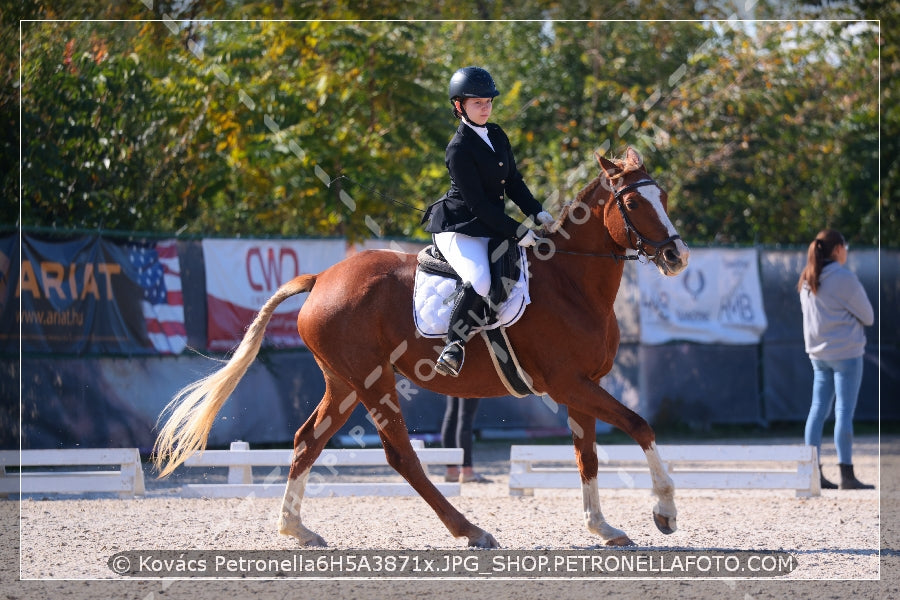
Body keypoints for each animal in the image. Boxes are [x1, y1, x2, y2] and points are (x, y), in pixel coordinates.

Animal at [155, 146, 688, 548]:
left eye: (663, 195)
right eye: (633, 205)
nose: (676, 255)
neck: (572, 282)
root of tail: (322, 277)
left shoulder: (583, 386)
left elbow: (588, 457)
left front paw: (603, 527)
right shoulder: (568, 384)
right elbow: (640, 426)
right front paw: (664, 511)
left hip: (343, 383)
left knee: (308, 441)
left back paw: (296, 529)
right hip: (373, 382)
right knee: (401, 457)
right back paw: (470, 530)